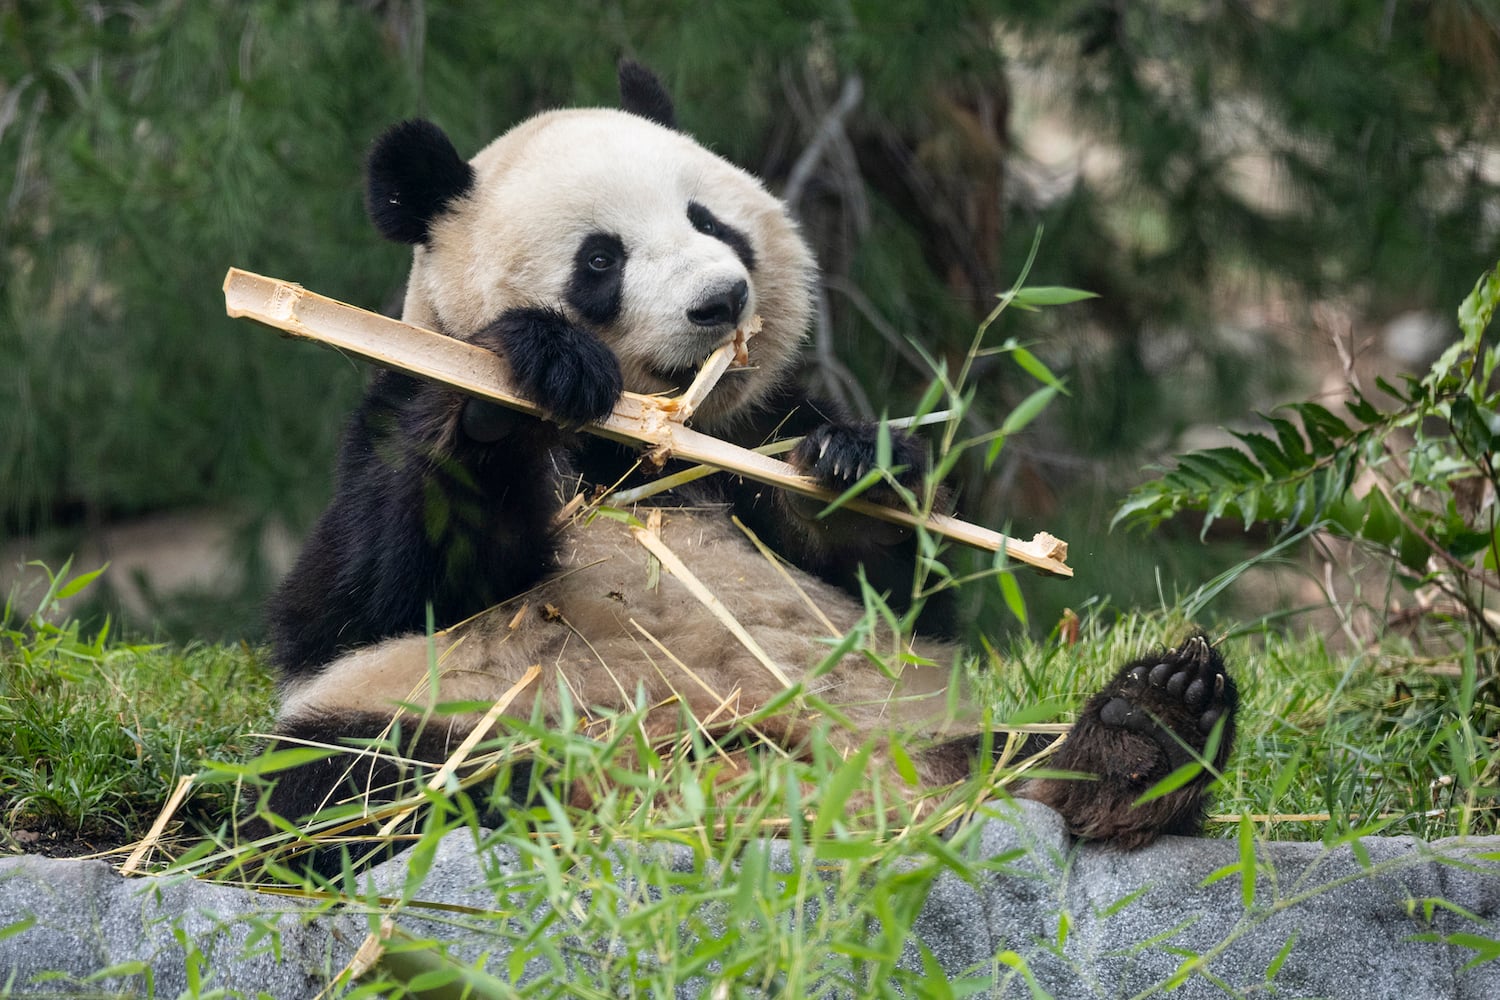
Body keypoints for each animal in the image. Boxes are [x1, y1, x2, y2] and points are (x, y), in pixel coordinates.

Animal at [248, 63, 1236, 873]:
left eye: (708, 219)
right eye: (600, 258)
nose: (721, 301)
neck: (639, 442)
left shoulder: (764, 424)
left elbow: (899, 588)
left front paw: (856, 470)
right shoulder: (395, 404)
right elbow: (365, 595)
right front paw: (519, 381)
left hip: (904, 727)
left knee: (1012, 748)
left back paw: (1144, 737)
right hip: (458, 715)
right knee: (356, 786)